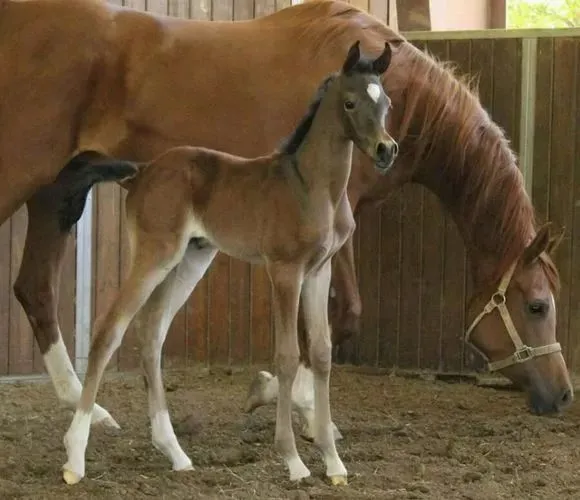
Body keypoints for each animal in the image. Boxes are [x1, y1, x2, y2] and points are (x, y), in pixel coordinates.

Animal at [0, 0, 572, 436]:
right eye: (538, 306)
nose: (564, 394)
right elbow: (336, 320)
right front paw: (296, 407)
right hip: (25, 176)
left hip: (59, 193)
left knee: (35, 290)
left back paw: (89, 410)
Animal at [61, 42, 396, 484]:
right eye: (351, 102)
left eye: (387, 102)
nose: (386, 150)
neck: (311, 187)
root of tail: (142, 172)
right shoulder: (285, 270)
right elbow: (288, 356)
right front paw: (293, 460)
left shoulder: (318, 271)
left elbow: (322, 353)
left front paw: (334, 462)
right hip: (155, 254)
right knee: (109, 330)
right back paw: (75, 457)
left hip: (190, 259)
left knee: (152, 334)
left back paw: (175, 452)